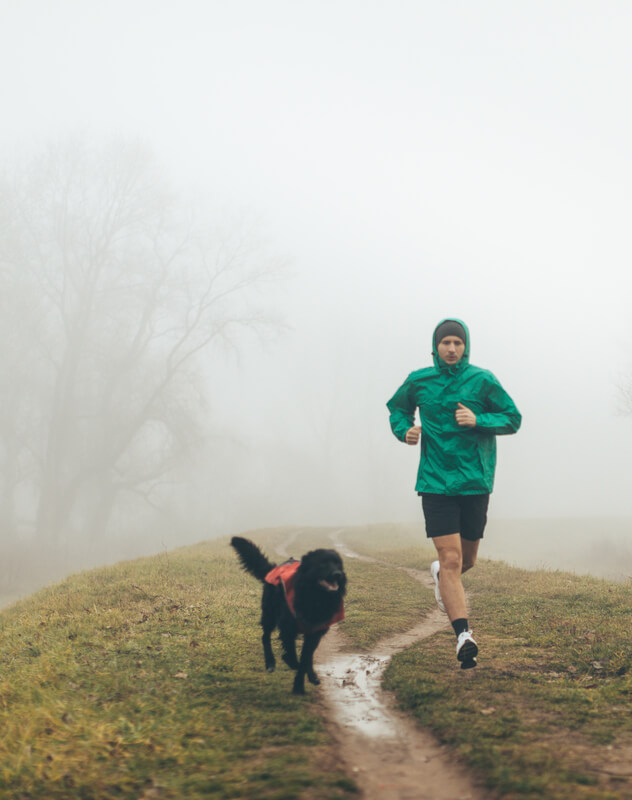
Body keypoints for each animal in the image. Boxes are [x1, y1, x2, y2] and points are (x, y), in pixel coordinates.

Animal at [230, 536, 346, 692]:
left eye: (337, 564)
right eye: (322, 564)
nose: (338, 574)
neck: (315, 596)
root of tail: (274, 568)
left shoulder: (315, 632)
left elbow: (306, 658)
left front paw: (299, 686)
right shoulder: (287, 628)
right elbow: (294, 656)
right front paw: (292, 666)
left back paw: (311, 675)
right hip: (269, 615)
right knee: (265, 637)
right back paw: (270, 663)